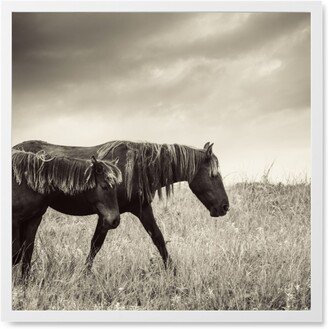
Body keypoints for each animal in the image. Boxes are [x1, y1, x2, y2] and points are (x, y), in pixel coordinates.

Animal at [12, 140, 228, 270]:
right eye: (214, 176)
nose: (225, 207)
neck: (135, 168)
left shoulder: (142, 209)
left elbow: (158, 239)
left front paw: (172, 271)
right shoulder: (106, 215)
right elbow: (95, 245)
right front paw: (84, 274)